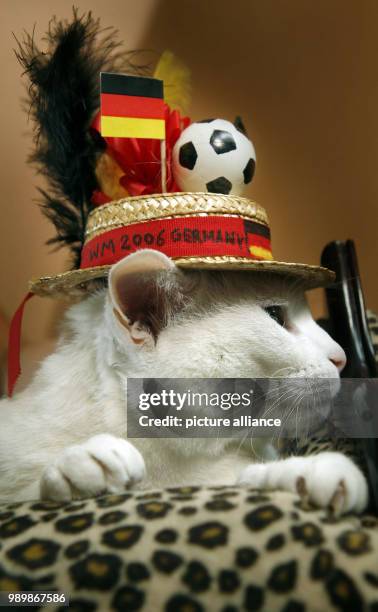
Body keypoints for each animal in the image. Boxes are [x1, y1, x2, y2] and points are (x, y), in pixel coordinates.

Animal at [0, 249, 368, 512]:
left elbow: (247, 478)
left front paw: (300, 474)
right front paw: (80, 468)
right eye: (276, 315)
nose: (341, 357)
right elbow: (22, 496)